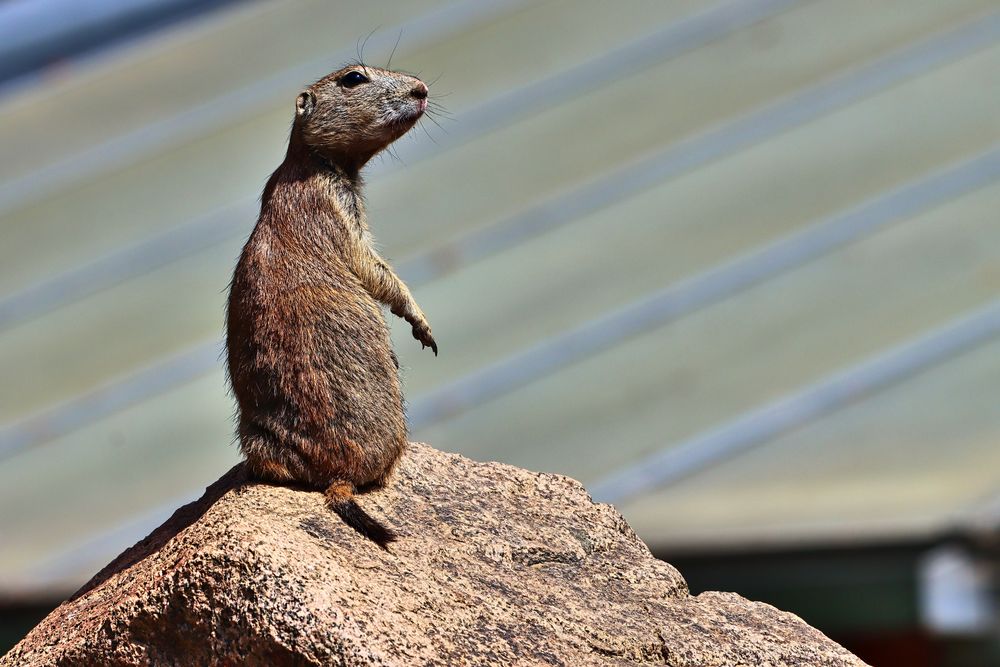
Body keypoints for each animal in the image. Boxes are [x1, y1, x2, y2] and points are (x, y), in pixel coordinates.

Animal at [227, 62, 438, 548]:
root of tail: (339, 478)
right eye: (353, 78)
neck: (310, 163)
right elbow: (371, 266)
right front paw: (421, 324)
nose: (422, 89)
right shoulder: (334, 209)